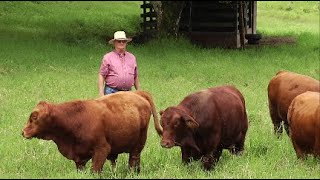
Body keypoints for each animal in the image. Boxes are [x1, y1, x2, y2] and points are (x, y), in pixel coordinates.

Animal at [21, 90, 162, 174]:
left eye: (34, 117)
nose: (23, 132)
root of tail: (137, 93)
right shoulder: (79, 158)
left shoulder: (102, 149)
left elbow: (95, 170)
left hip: (138, 143)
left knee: (133, 159)